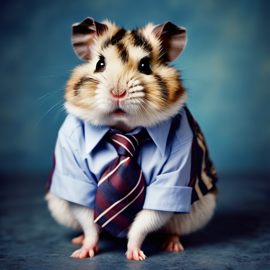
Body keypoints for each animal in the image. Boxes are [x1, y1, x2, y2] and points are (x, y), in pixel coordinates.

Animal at [44, 17, 217, 262]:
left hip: (196, 212)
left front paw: (135, 256)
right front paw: (81, 254)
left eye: (145, 66)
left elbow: (145, 220)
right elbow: (87, 219)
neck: (124, 130)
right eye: (100, 64)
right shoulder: (74, 170)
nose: (118, 93)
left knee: (174, 229)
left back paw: (173, 245)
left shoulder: (173, 176)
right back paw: (77, 241)